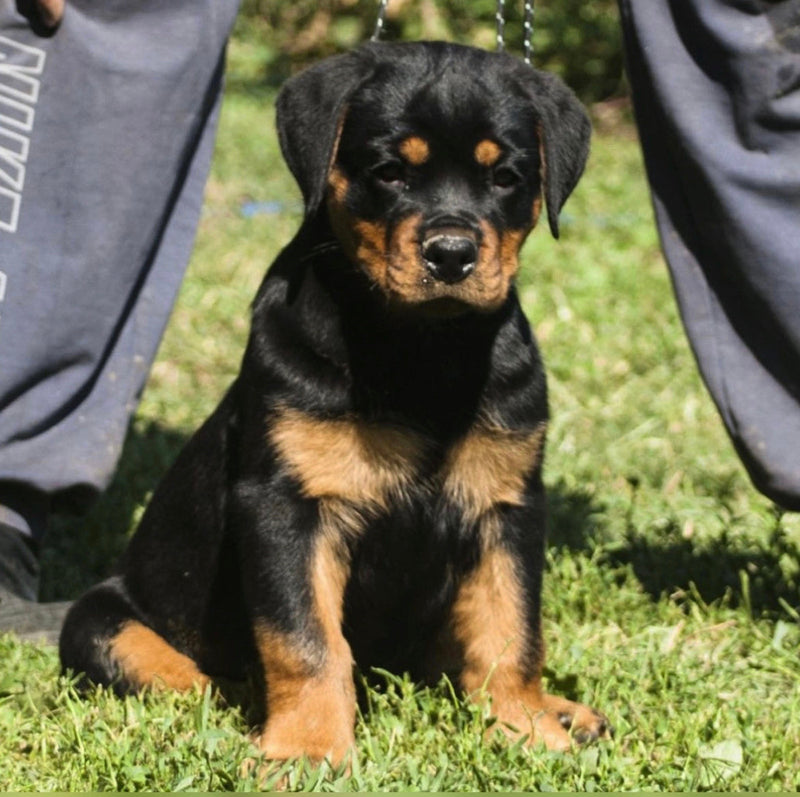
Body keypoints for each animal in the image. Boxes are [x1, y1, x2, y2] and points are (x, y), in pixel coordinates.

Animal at [59, 40, 608, 760]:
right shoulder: (285, 504)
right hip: (100, 621)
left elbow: (511, 630)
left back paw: (563, 711)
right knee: (178, 670)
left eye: (506, 177)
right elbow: (306, 639)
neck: (419, 348)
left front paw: (527, 729)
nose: (452, 254)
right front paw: (309, 749)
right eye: (388, 171)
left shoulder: (508, 505)